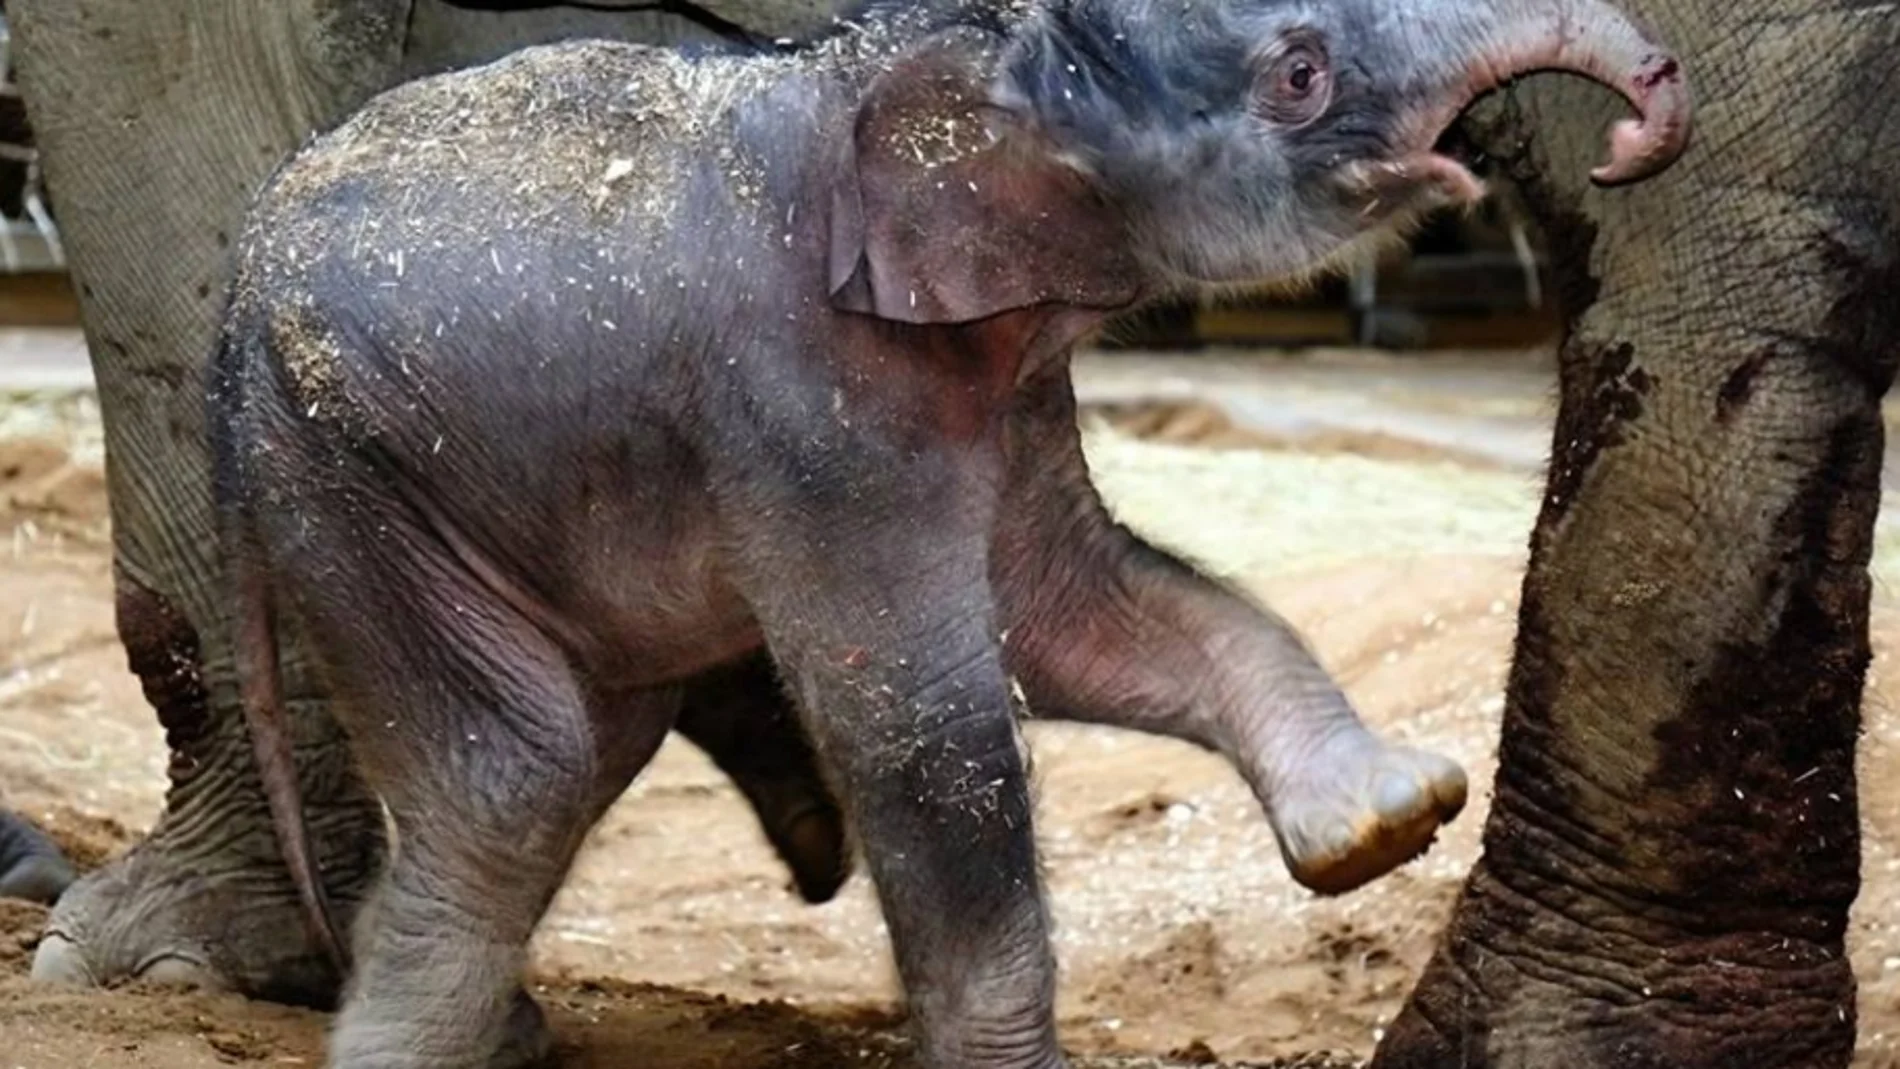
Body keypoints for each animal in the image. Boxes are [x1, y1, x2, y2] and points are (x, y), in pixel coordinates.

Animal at [3, 0, 1890, 1067]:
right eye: (1297, 73)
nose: (1643, 119)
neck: (937, 63)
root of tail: (241, 325)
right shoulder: (808, 396)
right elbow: (926, 719)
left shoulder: (990, 365)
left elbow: (1091, 617)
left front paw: (1384, 819)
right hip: (349, 476)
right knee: (517, 768)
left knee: (571, 747)